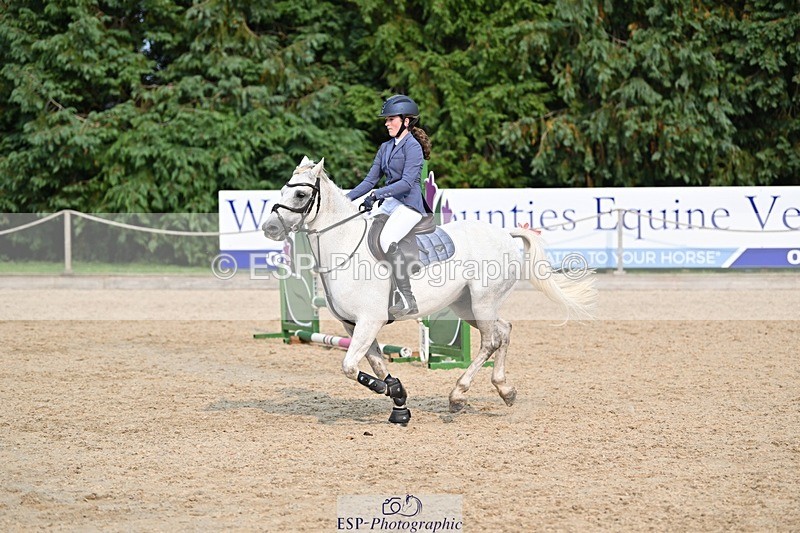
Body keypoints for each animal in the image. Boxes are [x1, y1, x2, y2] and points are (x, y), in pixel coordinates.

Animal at [262, 156, 597, 425]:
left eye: (301, 193)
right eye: (282, 191)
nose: (270, 228)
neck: (345, 246)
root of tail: (504, 232)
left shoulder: (369, 321)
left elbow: (349, 366)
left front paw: (388, 391)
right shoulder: (353, 325)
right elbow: (376, 363)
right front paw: (398, 399)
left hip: (483, 301)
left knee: (490, 341)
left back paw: (458, 395)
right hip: (468, 306)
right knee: (504, 331)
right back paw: (505, 389)